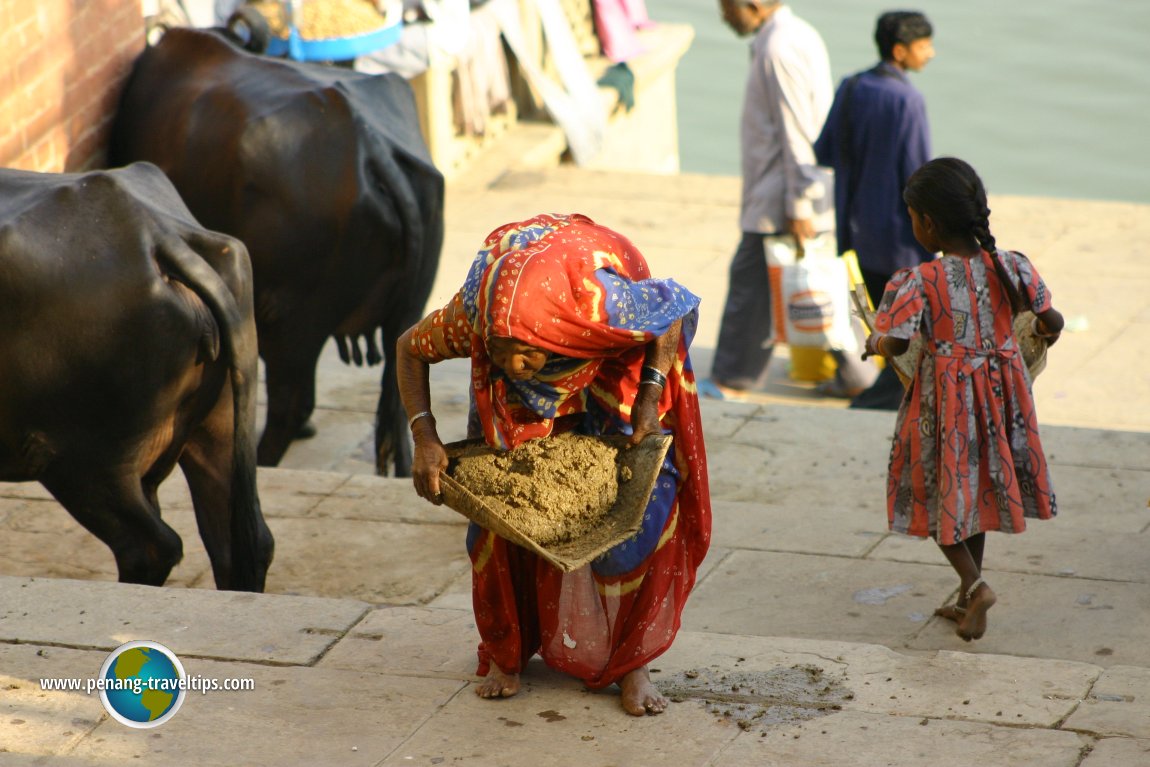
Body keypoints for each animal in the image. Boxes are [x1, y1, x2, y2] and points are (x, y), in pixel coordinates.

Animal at [109, 28, 443, 473]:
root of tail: (369, 144)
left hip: (291, 322)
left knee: (292, 403)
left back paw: (262, 460)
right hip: (405, 310)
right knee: (399, 394)